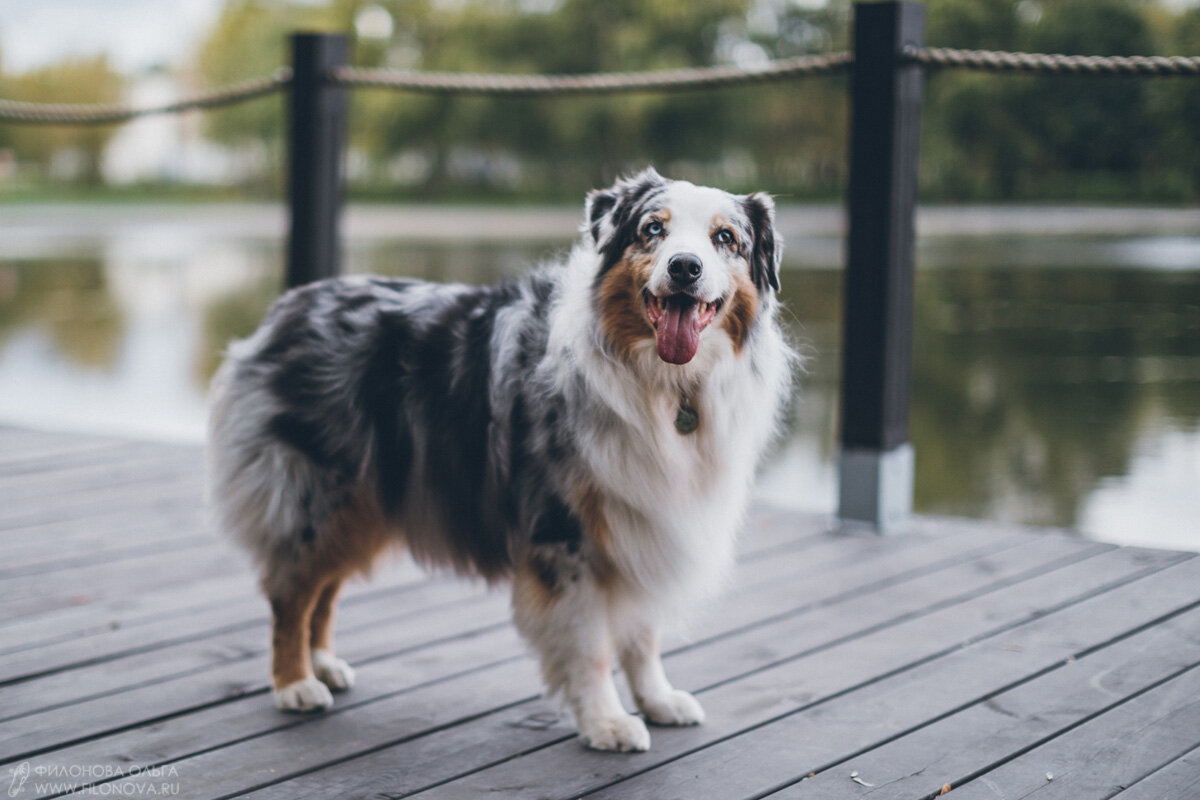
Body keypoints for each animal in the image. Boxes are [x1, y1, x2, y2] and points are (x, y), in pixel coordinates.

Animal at [206, 167, 796, 753]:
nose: (684, 267)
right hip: (319, 492)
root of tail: (288, 305)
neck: (666, 386)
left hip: (368, 498)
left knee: (323, 588)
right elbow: (592, 645)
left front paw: (658, 699)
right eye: (653, 229)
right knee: (291, 590)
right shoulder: (564, 535)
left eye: (726, 239)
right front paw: (606, 722)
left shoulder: (648, 519)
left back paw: (323, 664)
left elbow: (642, 635)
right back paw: (295, 683)